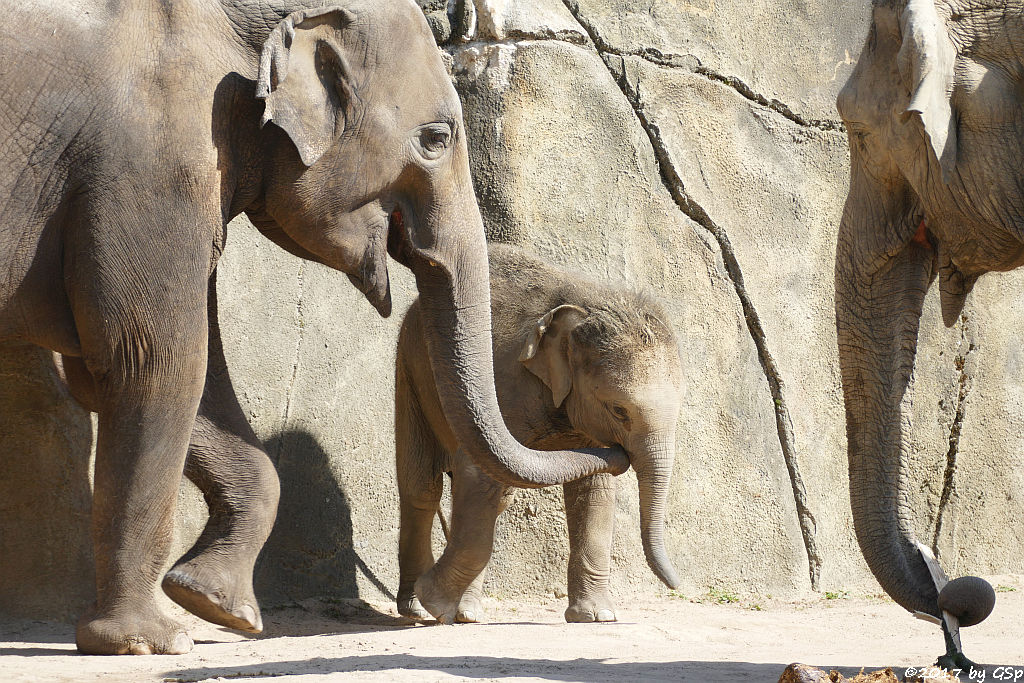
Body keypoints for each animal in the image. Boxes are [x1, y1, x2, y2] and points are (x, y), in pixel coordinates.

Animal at [0, 2, 622, 659]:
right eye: (435, 139)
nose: (613, 451)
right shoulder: (151, 167)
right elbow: (155, 362)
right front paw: (152, 641)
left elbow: (144, 373)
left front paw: (220, 606)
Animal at [395, 245, 684, 626]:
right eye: (619, 410)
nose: (680, 587)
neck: (586, 304)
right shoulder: (504, 385)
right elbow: (478, 470)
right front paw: (434, 602)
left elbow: (594, 489)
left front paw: (597, 617)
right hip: (410, 364)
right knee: (422, 486)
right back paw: (418, 609)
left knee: (496, 497)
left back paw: (467, 613)